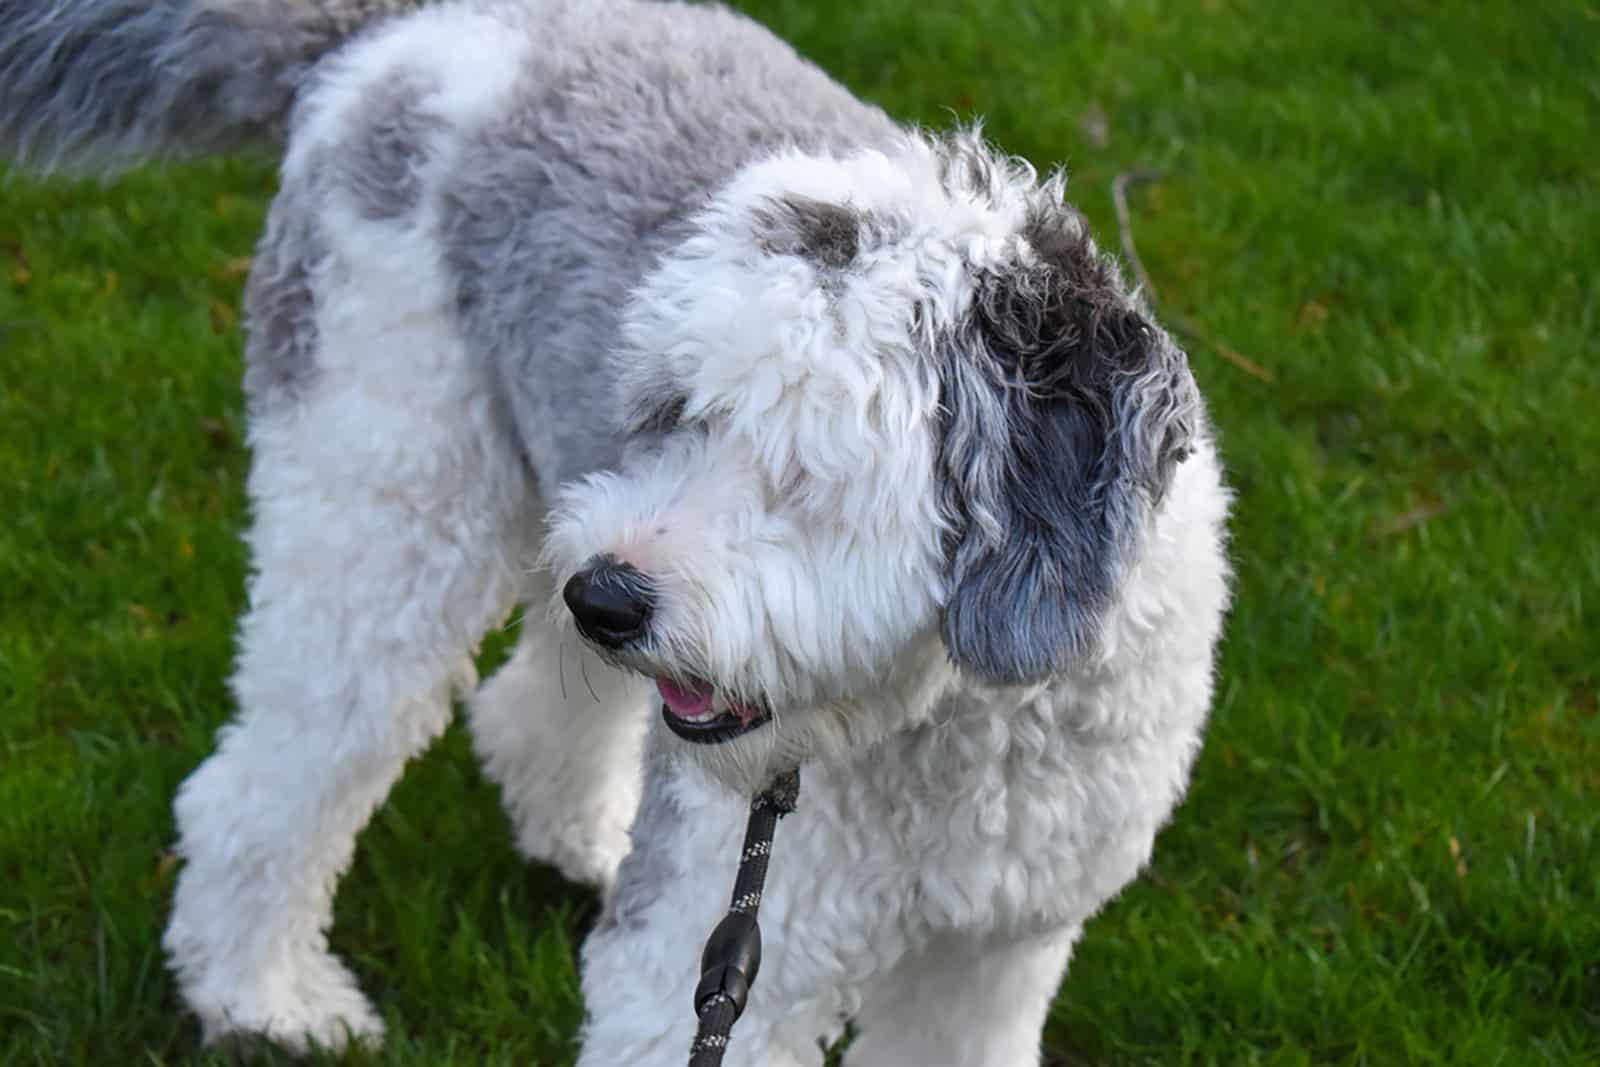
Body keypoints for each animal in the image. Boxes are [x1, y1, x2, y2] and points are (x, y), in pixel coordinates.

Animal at [0, 4, 1235, 1062]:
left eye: (806, 466)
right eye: (675, 410)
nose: (609, 598)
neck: (969, 721)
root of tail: (403, 30)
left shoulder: (993, 957)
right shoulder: (712, 957)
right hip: (389, 503)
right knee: (278, 767)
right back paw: (266, 998)